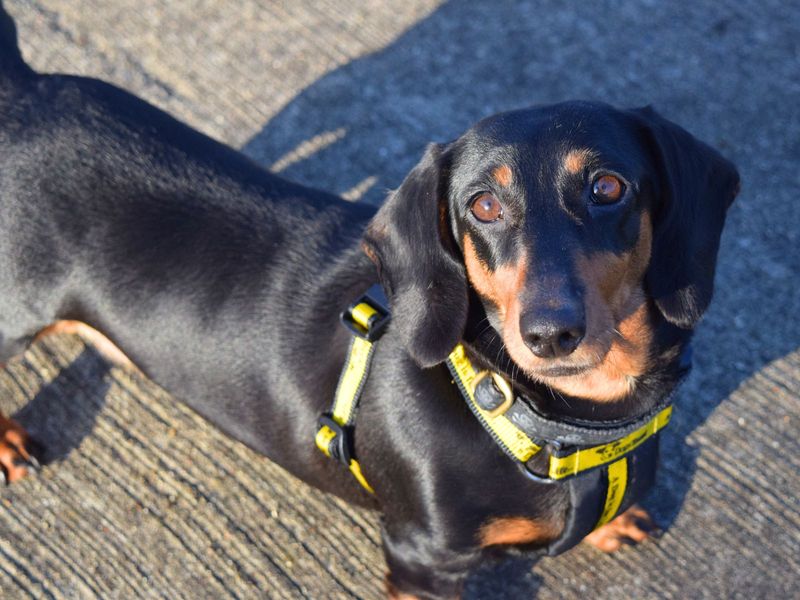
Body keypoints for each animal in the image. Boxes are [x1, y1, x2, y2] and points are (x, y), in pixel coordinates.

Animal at [0, 5, 736, 600]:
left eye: (608, 187)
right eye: (483, 205)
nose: (550, 334)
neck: (558, 424)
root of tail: (24, 88)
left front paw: (616, 524)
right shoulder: (422, 561)